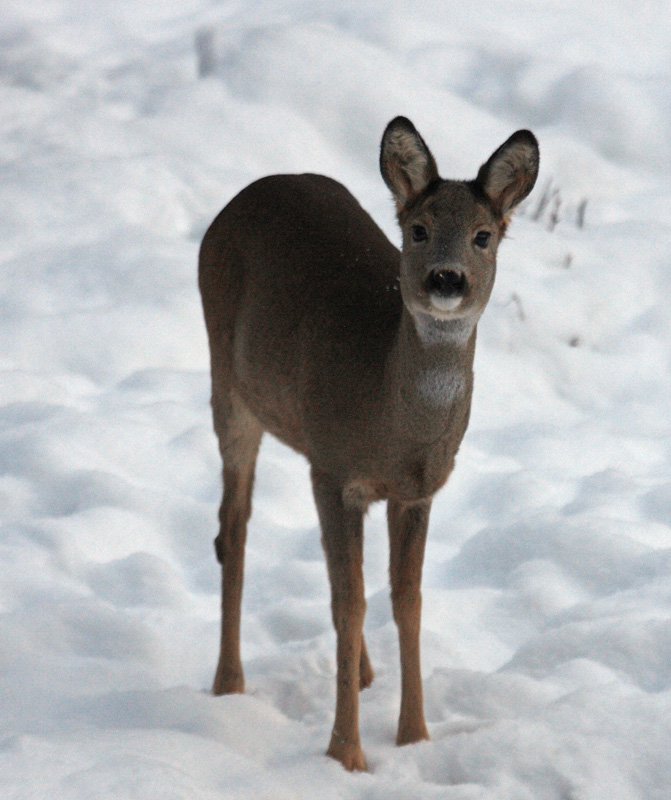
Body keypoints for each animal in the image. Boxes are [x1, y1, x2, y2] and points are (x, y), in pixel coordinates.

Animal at [198, 117, 540, 768]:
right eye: (418, 229)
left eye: (483, 236)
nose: (446, 278)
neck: (391, 424)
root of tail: (248, 194)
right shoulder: (337, 473)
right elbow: (349, 602)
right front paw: (346, 754)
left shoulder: (415, 490)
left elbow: (406, 599)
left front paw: (415, 735)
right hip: (230, 382)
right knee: (233, 525)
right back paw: (228, 682)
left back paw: (361, 673)